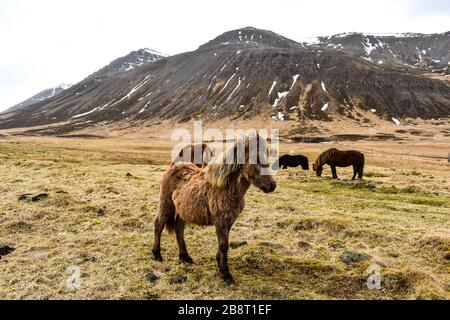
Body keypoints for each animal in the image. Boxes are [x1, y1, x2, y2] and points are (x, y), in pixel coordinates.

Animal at [153, 134, 276, 282]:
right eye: (257, 158)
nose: (272, 185)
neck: (227, 188)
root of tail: (174, 166)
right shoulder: (221, 221)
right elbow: (223, 245)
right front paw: (225, 274)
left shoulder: (229, 221)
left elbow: (224, 243)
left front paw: (219, 264)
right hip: (166, 204)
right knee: (159, 224)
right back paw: (157, 255)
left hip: (183, 211)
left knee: (179, 229)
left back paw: (185, 256)